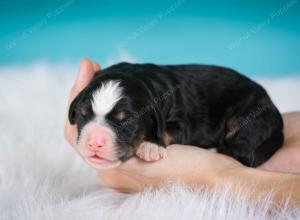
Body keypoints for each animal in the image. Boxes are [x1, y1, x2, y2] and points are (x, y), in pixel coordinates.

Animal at [68, 62, 284, 169]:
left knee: (243, 151)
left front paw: (151, 146)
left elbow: (168, 130)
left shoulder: (182, 122)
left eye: (126, 121)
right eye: (82, 115)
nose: (94, 142)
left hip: (248, 116)